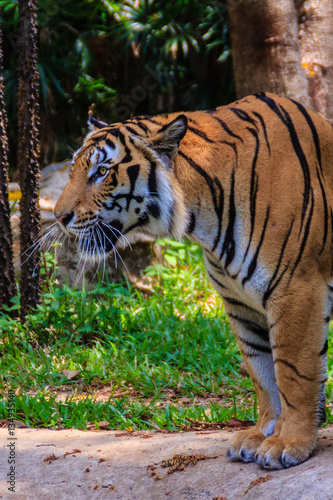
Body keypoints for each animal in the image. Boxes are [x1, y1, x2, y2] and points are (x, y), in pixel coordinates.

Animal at [55, 93, 332, 468]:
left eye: (101, 172)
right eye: (72, 170)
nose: (59, 217)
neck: (204, 217)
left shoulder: (295, 290)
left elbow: (293, 372)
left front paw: (290, 443)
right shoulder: (241, 302)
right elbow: (263, 373)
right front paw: (261, 434)